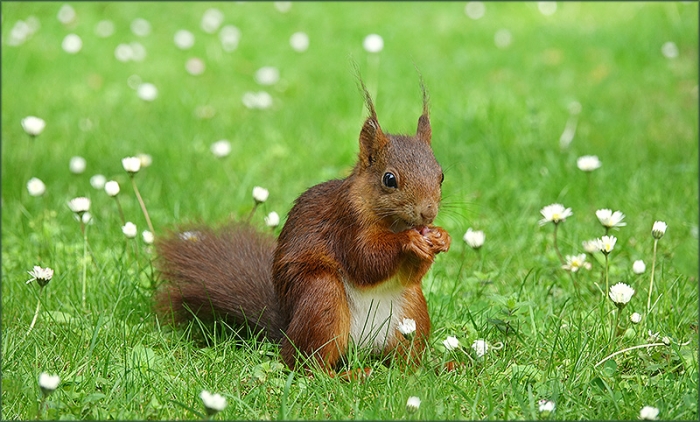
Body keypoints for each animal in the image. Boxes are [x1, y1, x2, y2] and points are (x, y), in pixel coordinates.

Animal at [154, 80, 451, 373]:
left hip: (412, 311)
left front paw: (441, 237)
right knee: (308, 364)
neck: (394, 223)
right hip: (322, 298)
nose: (428, 213)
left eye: (441, 176)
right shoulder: (343, 223)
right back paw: (351, 375)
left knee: (404, 362)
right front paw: (409, 241)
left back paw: (434, 367)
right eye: (389, 179)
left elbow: (410, 275)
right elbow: (364, 261)